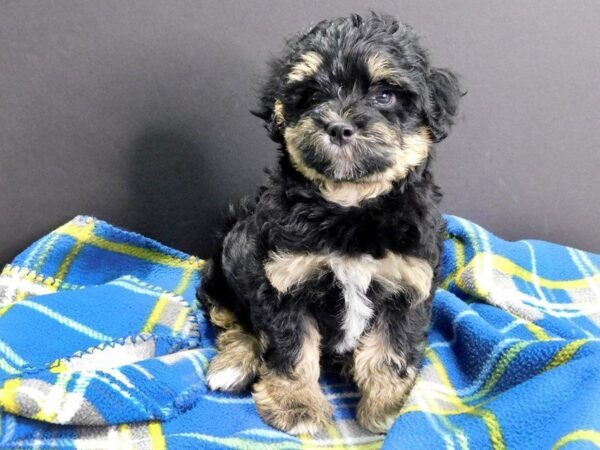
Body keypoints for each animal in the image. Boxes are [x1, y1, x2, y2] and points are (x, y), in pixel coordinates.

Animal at [199, 14, 462, 434]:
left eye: (384, 96)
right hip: (225, 271)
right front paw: (297, 405)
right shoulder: (284, 282)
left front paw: (387, 405)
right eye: (310, 96)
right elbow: (291, 347)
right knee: (235, 322)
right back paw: (235, 364)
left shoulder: (409, 283)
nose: (338, 126)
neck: (349, 206)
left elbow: (390, 348)